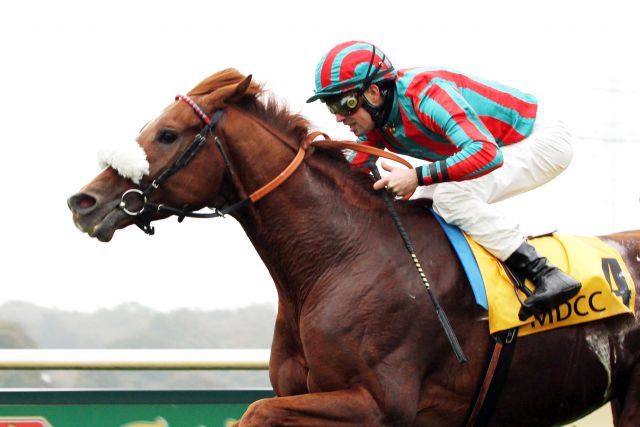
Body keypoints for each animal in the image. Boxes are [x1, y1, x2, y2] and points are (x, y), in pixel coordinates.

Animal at [69, 68, 640, 426]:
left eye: (166, 134)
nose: (83, 202)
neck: (339, 261)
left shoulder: (379, 404)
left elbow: (254, 412)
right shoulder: (302, 394)